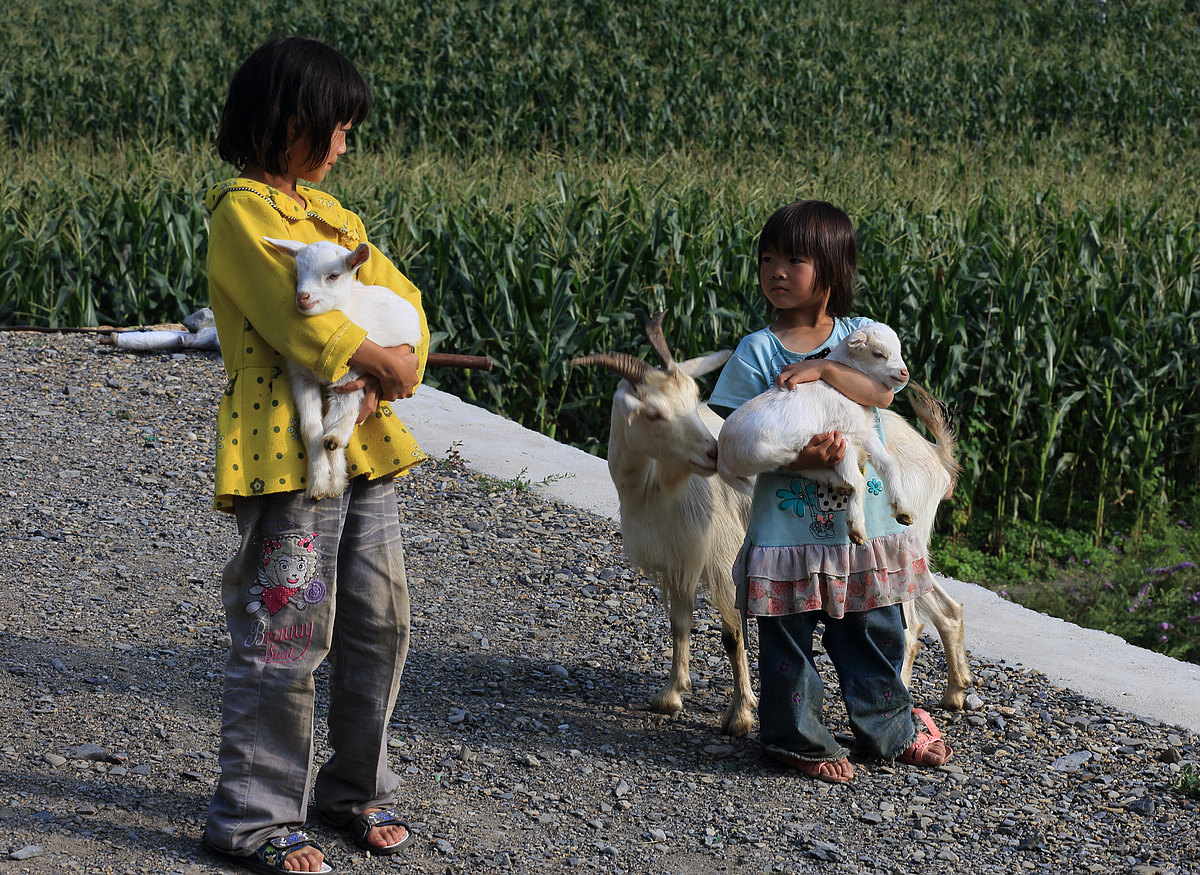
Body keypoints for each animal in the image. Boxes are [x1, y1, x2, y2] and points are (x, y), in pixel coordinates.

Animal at [571, 316, 758, 739]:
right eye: (653, 413)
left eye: (694, 396)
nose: (714, 453)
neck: (655, 488)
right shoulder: (677, 557)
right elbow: (678, 624)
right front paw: (671, 694)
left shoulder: (723, 555)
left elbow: (732, 632)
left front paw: (741, 716)